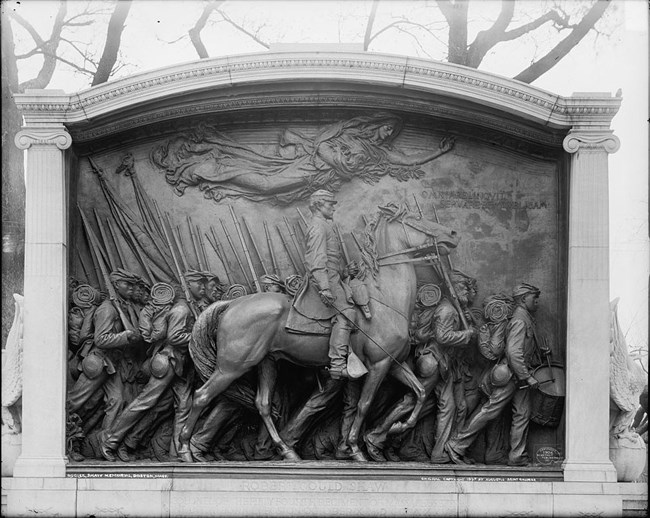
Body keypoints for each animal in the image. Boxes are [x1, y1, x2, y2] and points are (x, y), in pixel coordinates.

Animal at [178, 203, 456, 464]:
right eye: (416, 219)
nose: (452, 234)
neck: (384, 299)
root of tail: (232, 304)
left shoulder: (394, 363)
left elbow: (419, 392)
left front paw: (397, 428)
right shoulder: (379, 364)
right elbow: (363, 406)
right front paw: (356, 449)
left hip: (267, 362)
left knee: (263, 404)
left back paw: (287, 451)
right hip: (232, 366)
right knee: (201, 397)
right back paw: (185, 450)